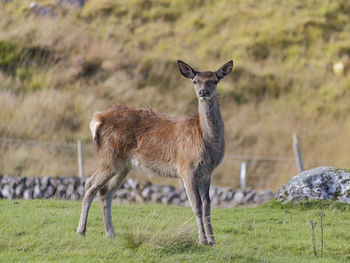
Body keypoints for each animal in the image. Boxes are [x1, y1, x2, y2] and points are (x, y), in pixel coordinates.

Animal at [78, 59, 234, 245]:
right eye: (195, 81)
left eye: (215, 80)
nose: (204, 92)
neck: (206, 141)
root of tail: (97, 120)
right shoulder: (186, 167)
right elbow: (196, 205)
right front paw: (202, 240)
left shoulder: (207, 172)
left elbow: (207, 205)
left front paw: (212, 240)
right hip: (108, 157)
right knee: (90, 184)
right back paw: (81, 231)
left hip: (123, 165)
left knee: (105, 192)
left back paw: (110, 233)